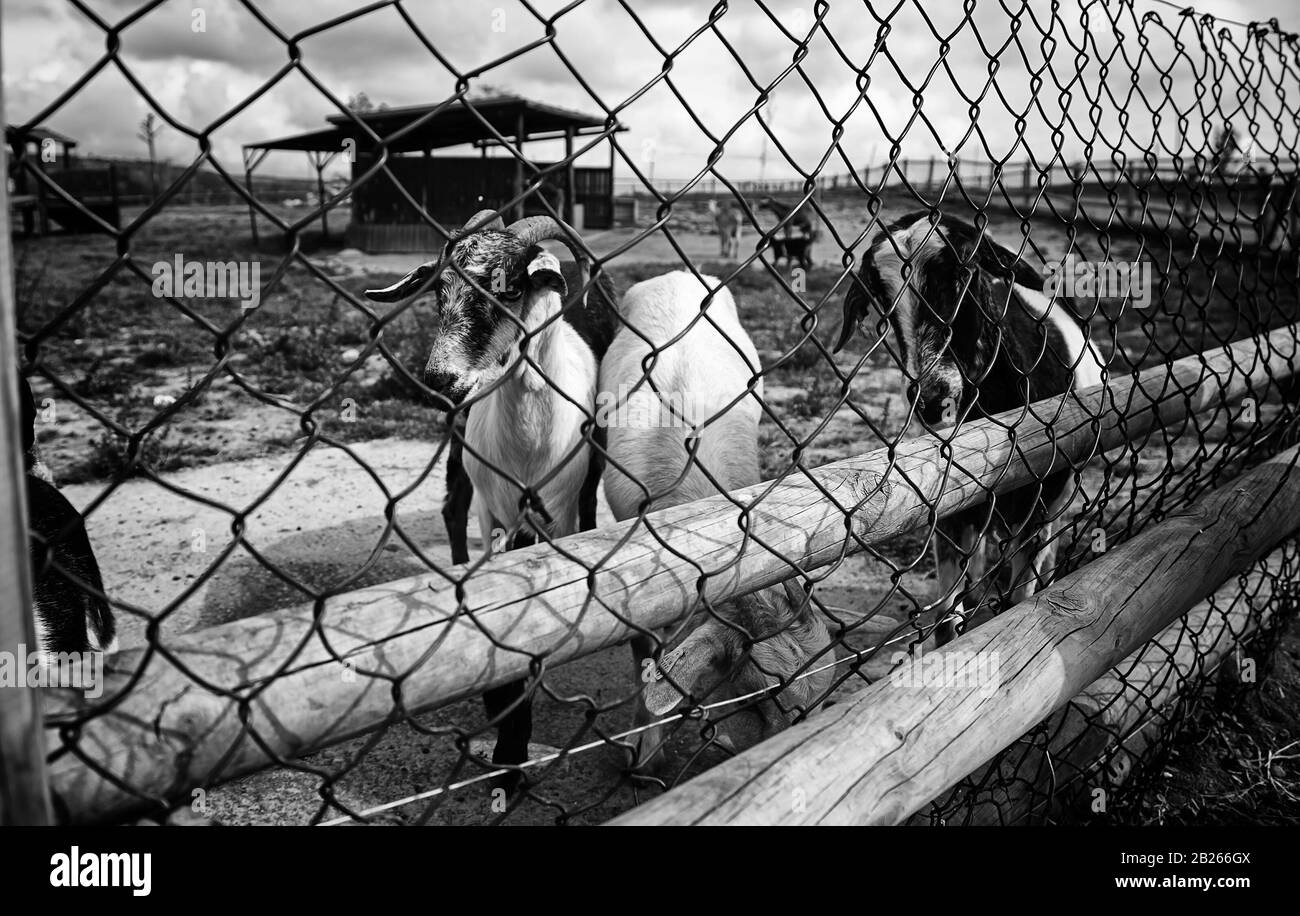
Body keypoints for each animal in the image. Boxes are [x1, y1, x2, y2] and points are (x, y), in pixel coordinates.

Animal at [361, 210, 613, 789]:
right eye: (438, 292)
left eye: (511, 287)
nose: (440, 379)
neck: (530, 444)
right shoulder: (492, 506)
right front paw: (505, 732)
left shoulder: (554, 514)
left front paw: (512, 750)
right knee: (452, 505)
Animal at [832, 213, 1107, 644]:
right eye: (884, 300)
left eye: (962, 275)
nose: (930, 399)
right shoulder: (949, 509)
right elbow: (947, 617)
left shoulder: (1037, 501)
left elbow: (1020, 598)